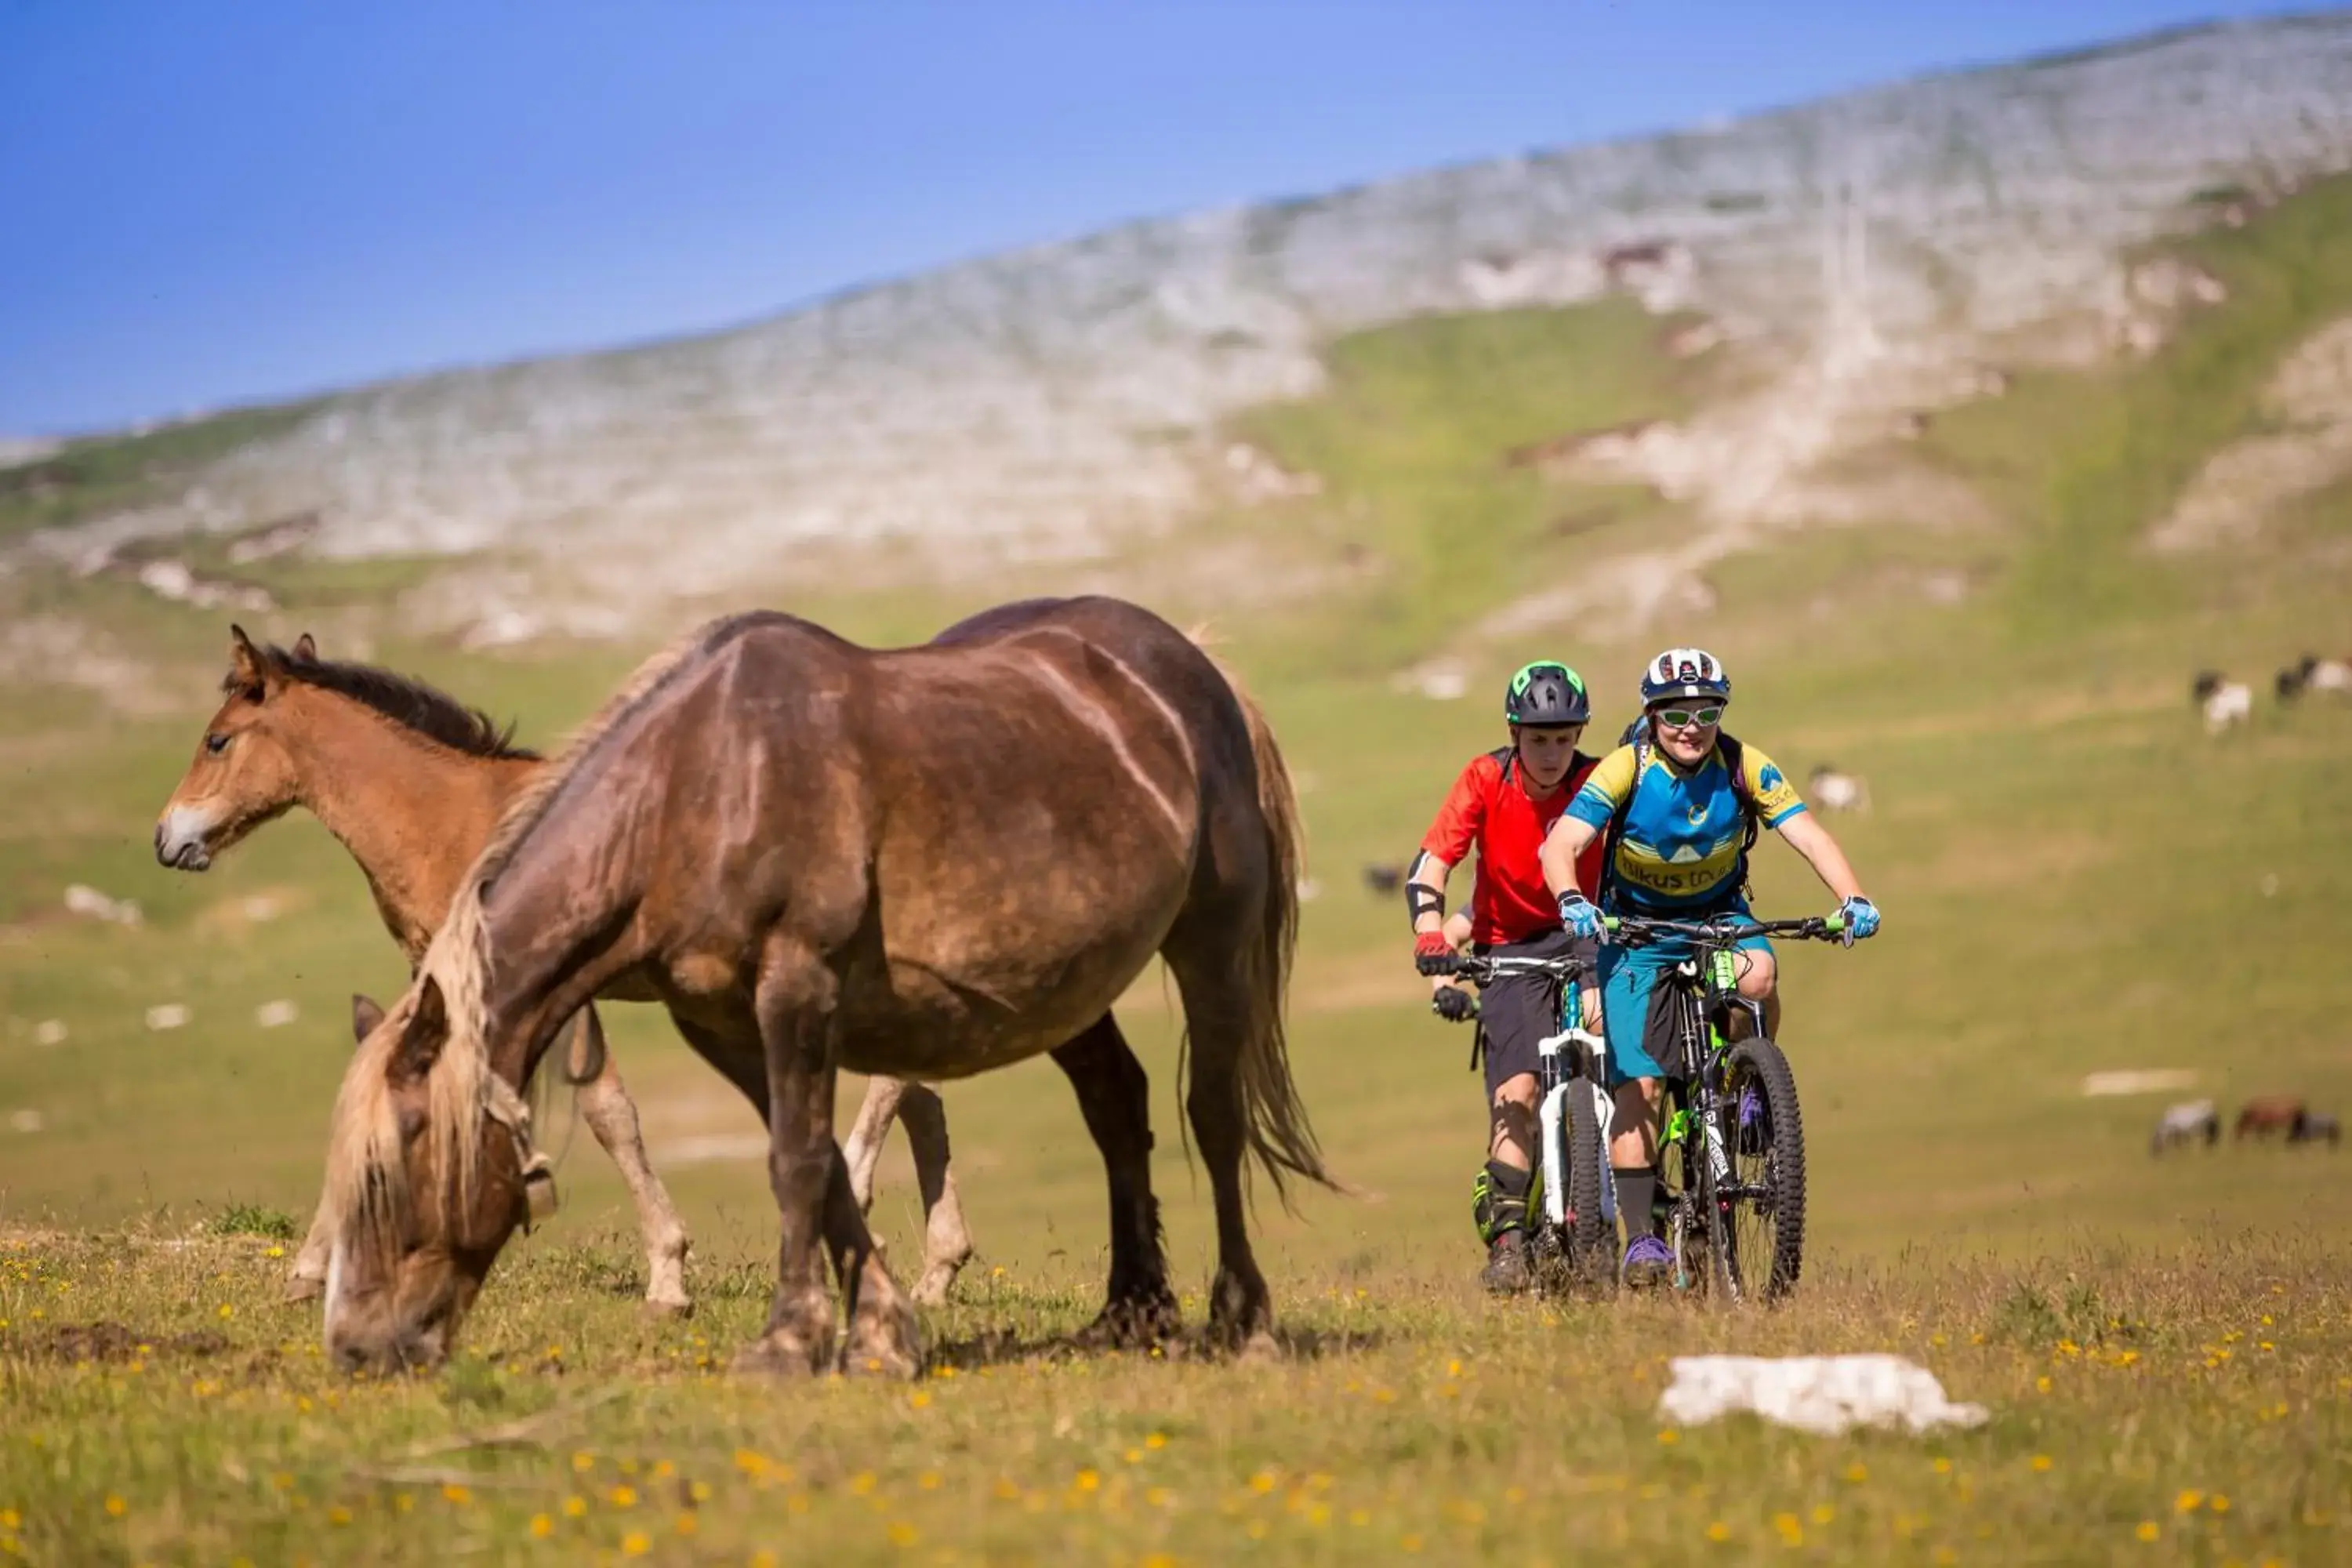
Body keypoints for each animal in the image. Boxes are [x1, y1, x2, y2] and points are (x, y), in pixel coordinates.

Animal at [151, 625, 974, 1316]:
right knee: (921, 1093)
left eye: (217, 740)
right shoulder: (439, 976)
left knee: (899, 1084)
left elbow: (610, 1113)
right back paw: (936, 1268)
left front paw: (668, 1273)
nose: (167, 839)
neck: (448, 820)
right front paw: (308, 1268)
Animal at [318, 594, 1327, 1382]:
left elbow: (799, 1162)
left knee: (1215, 1117)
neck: (697, 788)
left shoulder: (797, 988)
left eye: (401, 1152)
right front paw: (880, 1333)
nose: (357, 1346)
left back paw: (1243, 1319)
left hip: (1211, 945)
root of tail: (1189, 665)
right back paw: (1132, 1310)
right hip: (1065, 984)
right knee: (1118, 1106)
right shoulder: (725, 1024)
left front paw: (788, 1339)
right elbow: (821, 1162)